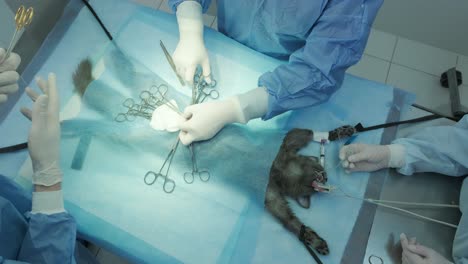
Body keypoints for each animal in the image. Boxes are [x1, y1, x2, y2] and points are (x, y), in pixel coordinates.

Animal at [266, 126, 356, 258]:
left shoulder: (287, 146)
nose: (326, 177)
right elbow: (290, 220)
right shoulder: (272, 195)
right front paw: (316, 242)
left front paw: (338, 132)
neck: (280, 173)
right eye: (321, 177)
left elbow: (307, 133)